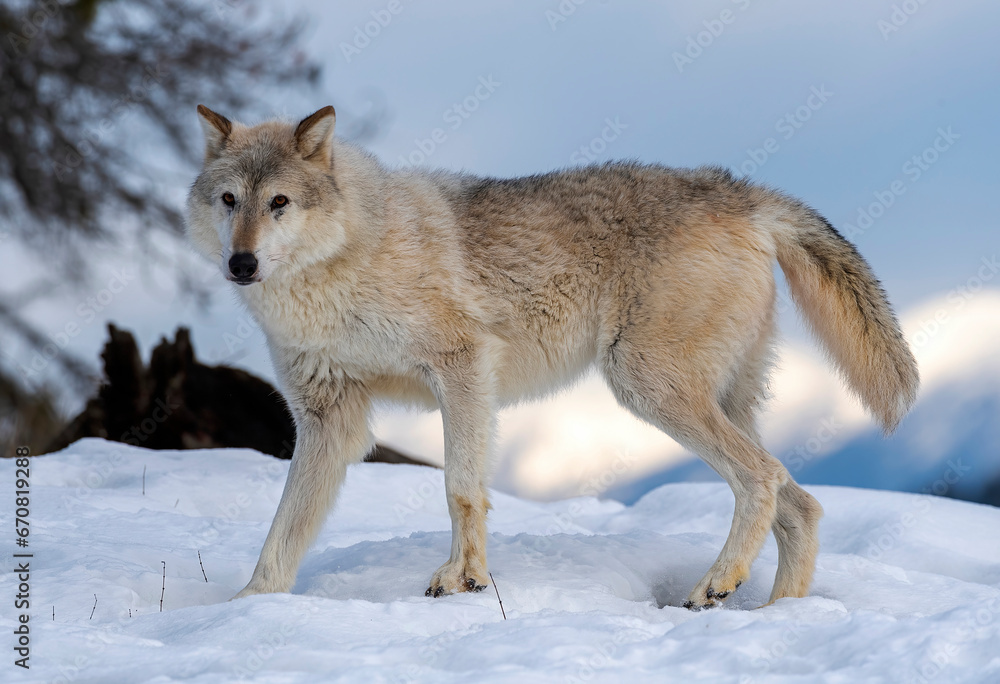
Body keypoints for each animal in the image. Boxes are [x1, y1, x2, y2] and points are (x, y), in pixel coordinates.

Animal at [186, 105, 919, 609]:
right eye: (230, 201)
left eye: (280, 203)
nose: (241, 263)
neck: (336, 275)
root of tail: (740, 190)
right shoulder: (328, 420)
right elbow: (283, 529)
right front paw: (247, 607)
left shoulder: (462, 369)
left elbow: (460, 489)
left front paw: (464, 579)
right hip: (712, 399)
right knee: (803, 505)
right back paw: (774, 615)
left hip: (646, 386)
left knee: (764, 479)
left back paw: (716, 583)